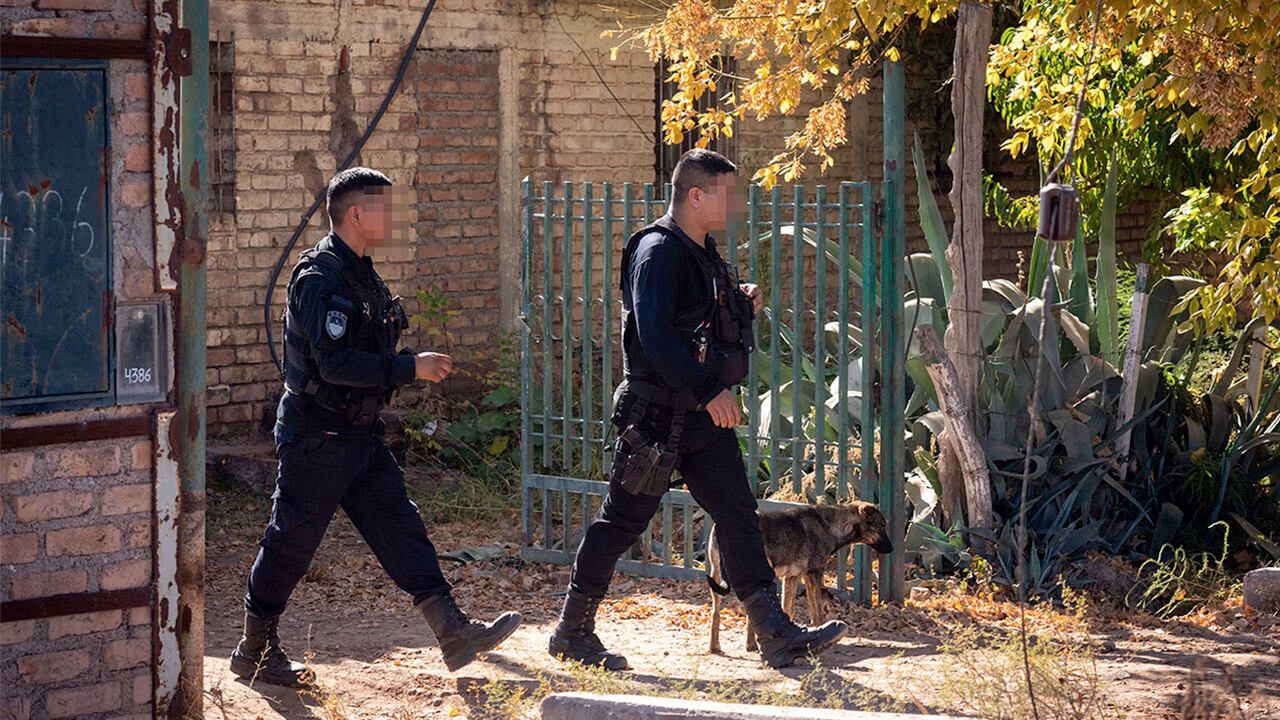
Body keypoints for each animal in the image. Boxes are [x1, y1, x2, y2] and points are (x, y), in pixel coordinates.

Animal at [706, 499, 896, 650]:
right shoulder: (814, 574)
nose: (892, 549)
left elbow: (788, 609)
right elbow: (817, 612)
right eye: (882, 526)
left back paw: (718, 646)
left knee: (716, 612)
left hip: (716, 576)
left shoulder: (792, 578)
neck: (831, 525)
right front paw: (821, 633)